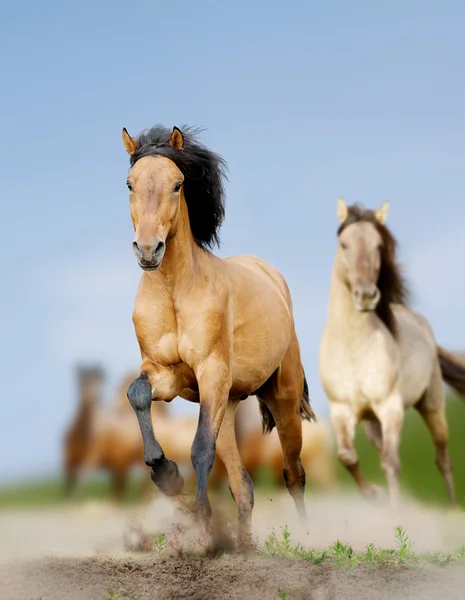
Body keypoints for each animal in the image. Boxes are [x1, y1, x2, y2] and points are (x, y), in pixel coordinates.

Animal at [121, 124, 314, 548]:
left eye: (177, 184)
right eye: (129, 184)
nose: (148, 250)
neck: (175, 291)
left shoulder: (210, 371)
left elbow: (199, 449)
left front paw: (199, 520)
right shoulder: (165, 374)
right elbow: (137, 394)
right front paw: (165, 474)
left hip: (282, 399)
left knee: (293, 473)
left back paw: (309, 538)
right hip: (229, 404)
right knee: (244, 486)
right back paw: (243, 547)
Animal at [318, 199, 464, 504]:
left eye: (378, 246)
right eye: (344, 244)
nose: (365, 295)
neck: (352, 347)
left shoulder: (390, 407)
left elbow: (391, 462)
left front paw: (394, 508)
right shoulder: (341, 411)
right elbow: (347, 457)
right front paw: (374, 494)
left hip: (431, 405)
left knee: (443, 459)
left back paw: (453, 507)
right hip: (371, 423)